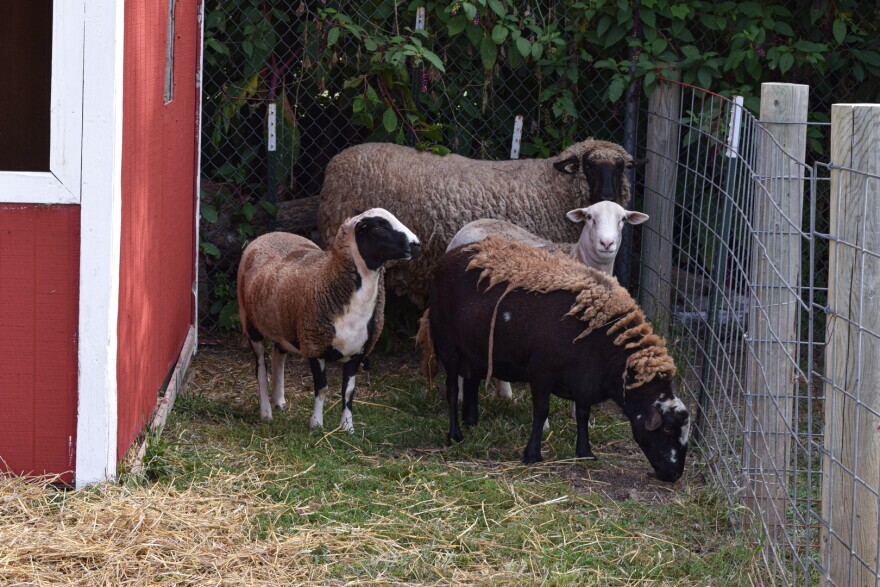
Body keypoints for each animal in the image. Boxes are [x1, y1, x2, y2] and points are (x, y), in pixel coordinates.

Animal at [239, 209, 422, 430]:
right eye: (378, 227)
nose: (417, 244)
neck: (329, 278)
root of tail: (270, 234)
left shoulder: (357, 351)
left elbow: (349, 390)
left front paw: (348, 427)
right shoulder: (315, 346)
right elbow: (322, 387)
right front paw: (316, 424)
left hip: (283, 324)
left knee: (278, 355)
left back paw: (279, 401)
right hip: (250, 324)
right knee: (260, 369)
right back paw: (266, 412)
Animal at [426, 237, 688, 484]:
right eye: (666, 428)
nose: (674, 475)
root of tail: (448, 257)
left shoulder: (585, 378)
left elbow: (583, 414)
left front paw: (585, 452)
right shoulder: (542, 371)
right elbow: (542, 411)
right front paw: (532, 454)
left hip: (475, 348)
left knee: (471, 380)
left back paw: (471, 421)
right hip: (446, 342)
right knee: (452, 389)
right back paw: (455, 435)